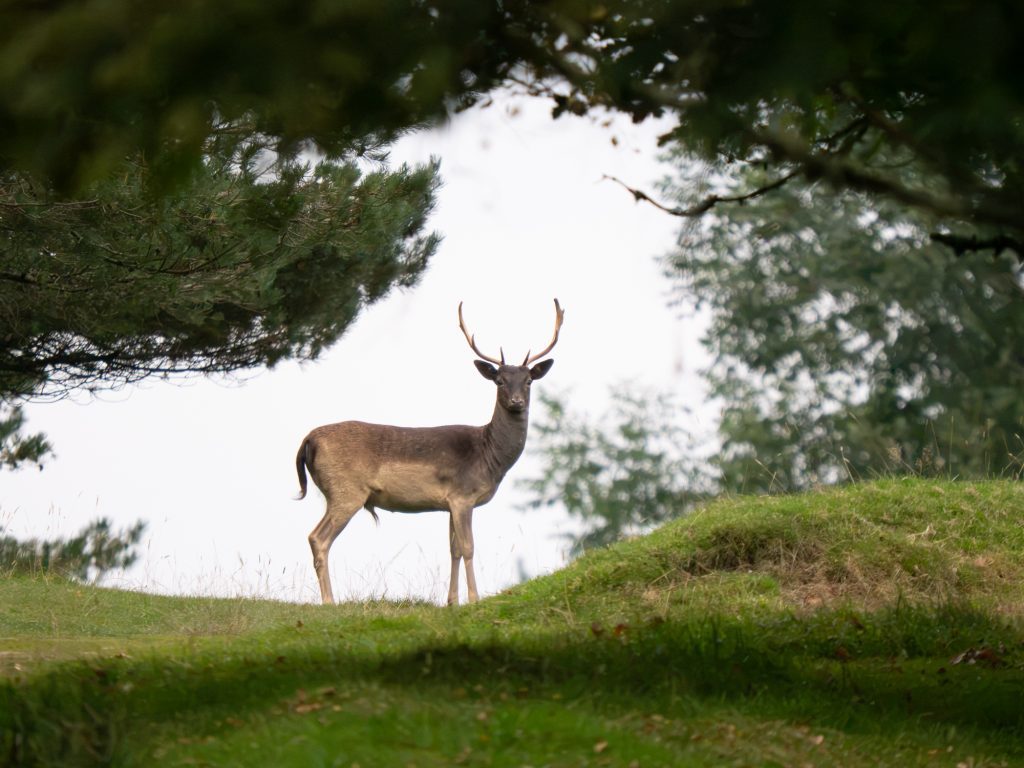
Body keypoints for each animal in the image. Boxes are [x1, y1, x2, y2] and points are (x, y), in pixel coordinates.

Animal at [295, 299, 564, 606]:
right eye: (499, 381)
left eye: (529, 380)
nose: (517, 401)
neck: (489, 458)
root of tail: (307, 440)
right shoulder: (463, 495)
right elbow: (469, 547)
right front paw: (474, 599)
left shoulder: (449, 502)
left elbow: (454, 549)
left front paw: (452, 602)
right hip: (345, 490)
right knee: (318, 538)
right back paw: (329, 601)